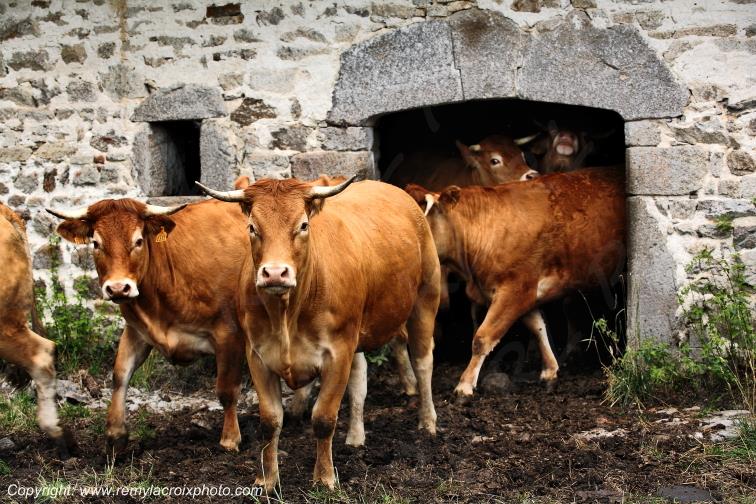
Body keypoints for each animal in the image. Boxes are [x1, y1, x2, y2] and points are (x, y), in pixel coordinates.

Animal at [46, 198, 250, 453]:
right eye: (96, 243)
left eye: (138, 241)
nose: (118, 288)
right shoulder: (136, 331)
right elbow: (120, 375)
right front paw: (115, 434)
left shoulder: (228, 333)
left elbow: (227, 389)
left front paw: (230, 439)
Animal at [197, 176, 440, 490]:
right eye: (252, 227)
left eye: (303, 225)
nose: (274, 274)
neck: (287, 314)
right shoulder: (258, 356)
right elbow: (270, 421)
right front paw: (267, 479)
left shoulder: (338, 353)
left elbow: (324, 418)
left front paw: (324, 478)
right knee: (359, 379)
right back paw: (355, 437)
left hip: (425, 299)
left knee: (423, 363)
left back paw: (428, 423)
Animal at [405, 167, 625, 397]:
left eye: (422, 224)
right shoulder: (523, 293)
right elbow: (537, 328)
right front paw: (550, 370)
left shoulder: (515, 291)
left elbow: (482, 338)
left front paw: (464, 385)